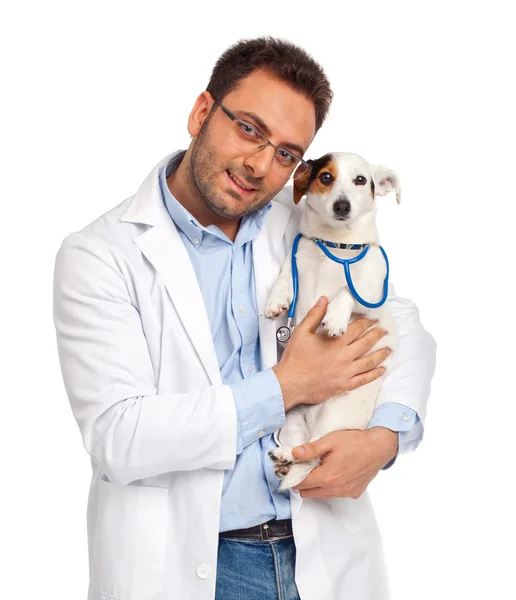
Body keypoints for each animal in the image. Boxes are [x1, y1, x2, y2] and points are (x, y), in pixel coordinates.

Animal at [266, 151, 404, 492]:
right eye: (326, 177)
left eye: (361, 180)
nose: (342, 206)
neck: (334, 246)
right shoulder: (297, 259)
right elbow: (285, 276)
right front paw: (276, 299)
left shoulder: (373, 300)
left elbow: (346, 290)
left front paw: (335, 319)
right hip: (291, 420)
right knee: (305, 451)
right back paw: (285, 458)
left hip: (335, 416)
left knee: (315, 453)